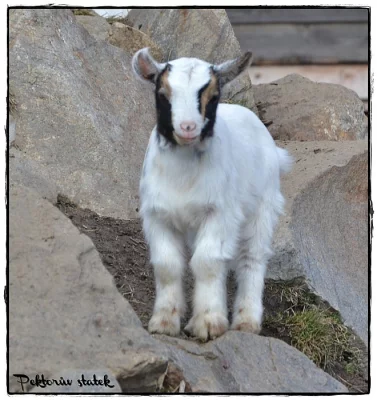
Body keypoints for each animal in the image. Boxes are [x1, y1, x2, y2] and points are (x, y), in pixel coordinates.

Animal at [132, 47, 290, 340]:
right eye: (163, 94)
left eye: (213, 96)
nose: (187, 127)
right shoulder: (156, 215)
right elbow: (167, 264)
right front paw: (164, 322)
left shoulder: (220, 212)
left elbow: (206, 262)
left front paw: (207, 323)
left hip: (264, 206)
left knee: (252, 258)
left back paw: (246, 321)